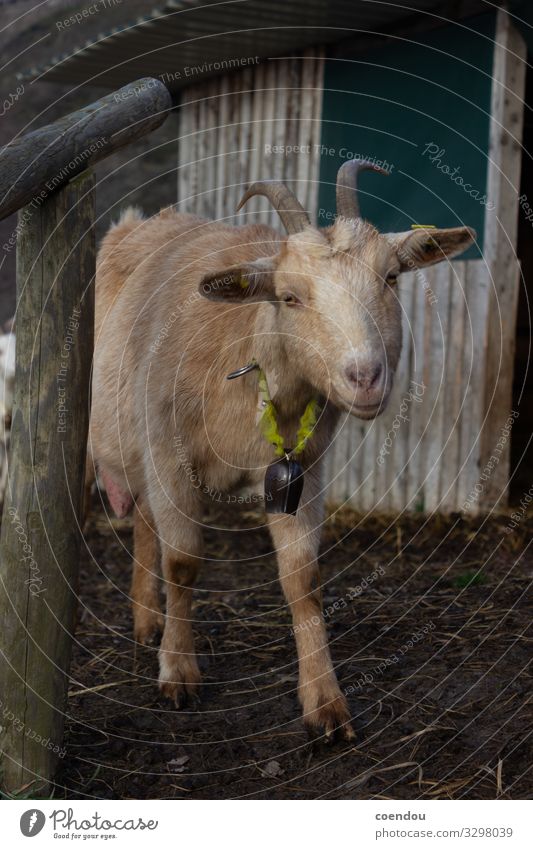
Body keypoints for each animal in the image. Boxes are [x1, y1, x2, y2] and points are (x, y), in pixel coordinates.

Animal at [88, 162, 474, 740]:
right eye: (289, 297)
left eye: (391, 277)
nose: (365, 377)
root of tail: (137, 221)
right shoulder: (169, 456)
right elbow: (183, 563)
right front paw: (179, 674)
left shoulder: (301, 470)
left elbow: (303, 578)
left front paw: (325, 704)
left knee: (144, 523)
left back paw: (148, 618)